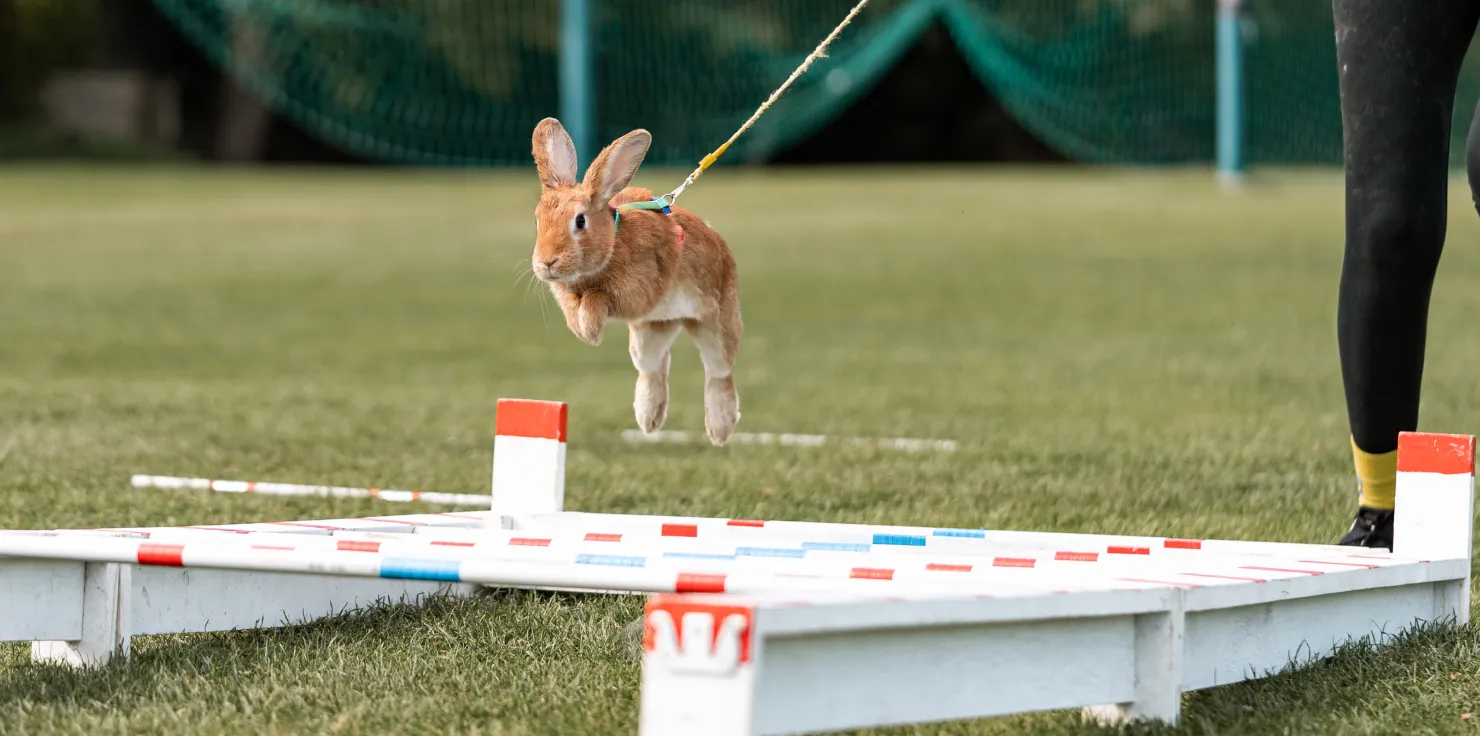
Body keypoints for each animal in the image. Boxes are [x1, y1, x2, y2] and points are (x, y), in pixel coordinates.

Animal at [529, 117, 742, 446]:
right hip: (649, 333)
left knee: (719, 372)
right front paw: (583, 330)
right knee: (654, 367)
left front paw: (591, 330)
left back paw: (719, 430)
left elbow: (598, 298)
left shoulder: (635, 291)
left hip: (716, 322)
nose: (547, 263)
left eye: (580, 221)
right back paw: (648, 420)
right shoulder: (570, 295)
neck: (612, 244)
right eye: (537, 220)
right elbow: (575, 307)